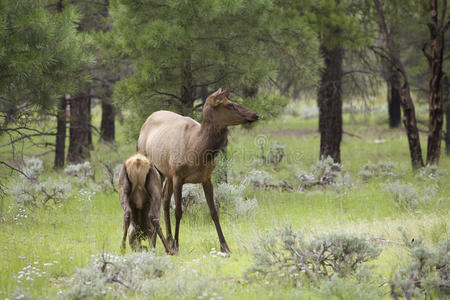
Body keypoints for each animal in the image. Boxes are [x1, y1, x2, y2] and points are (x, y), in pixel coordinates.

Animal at [137, 88, 258, 252]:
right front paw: (177, 245)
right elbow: (179, 212)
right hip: (155, 168)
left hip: (166, 173)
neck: (198, 150)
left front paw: (225, 246)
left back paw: (166, 240)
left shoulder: (206, 178)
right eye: (229, 104)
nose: (255, 114)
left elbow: (214, 212)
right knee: (156, 204)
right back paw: (160, 244)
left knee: (164, 200)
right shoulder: (178, 176)